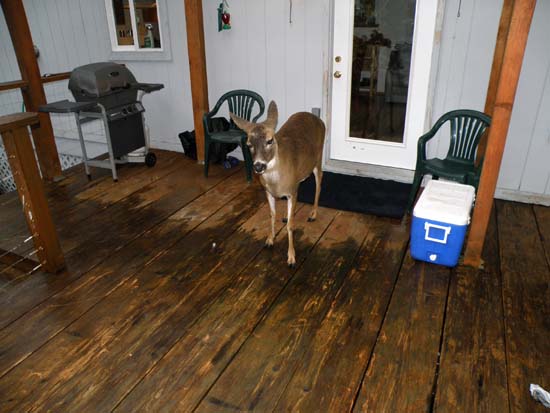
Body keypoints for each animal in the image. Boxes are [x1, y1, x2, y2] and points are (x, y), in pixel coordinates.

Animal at [231, 101, 326, 266]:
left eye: (270, 140)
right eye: (249, 144)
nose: (258, 166)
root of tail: (317, 118)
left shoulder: (292, 192)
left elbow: (291, 226)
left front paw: (291, 257)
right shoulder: (268, 192)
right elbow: (271, 214)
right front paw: (270, 239)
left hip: (318, 157)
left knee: (319, 180)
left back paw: (313, 214)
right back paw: (286, 215)